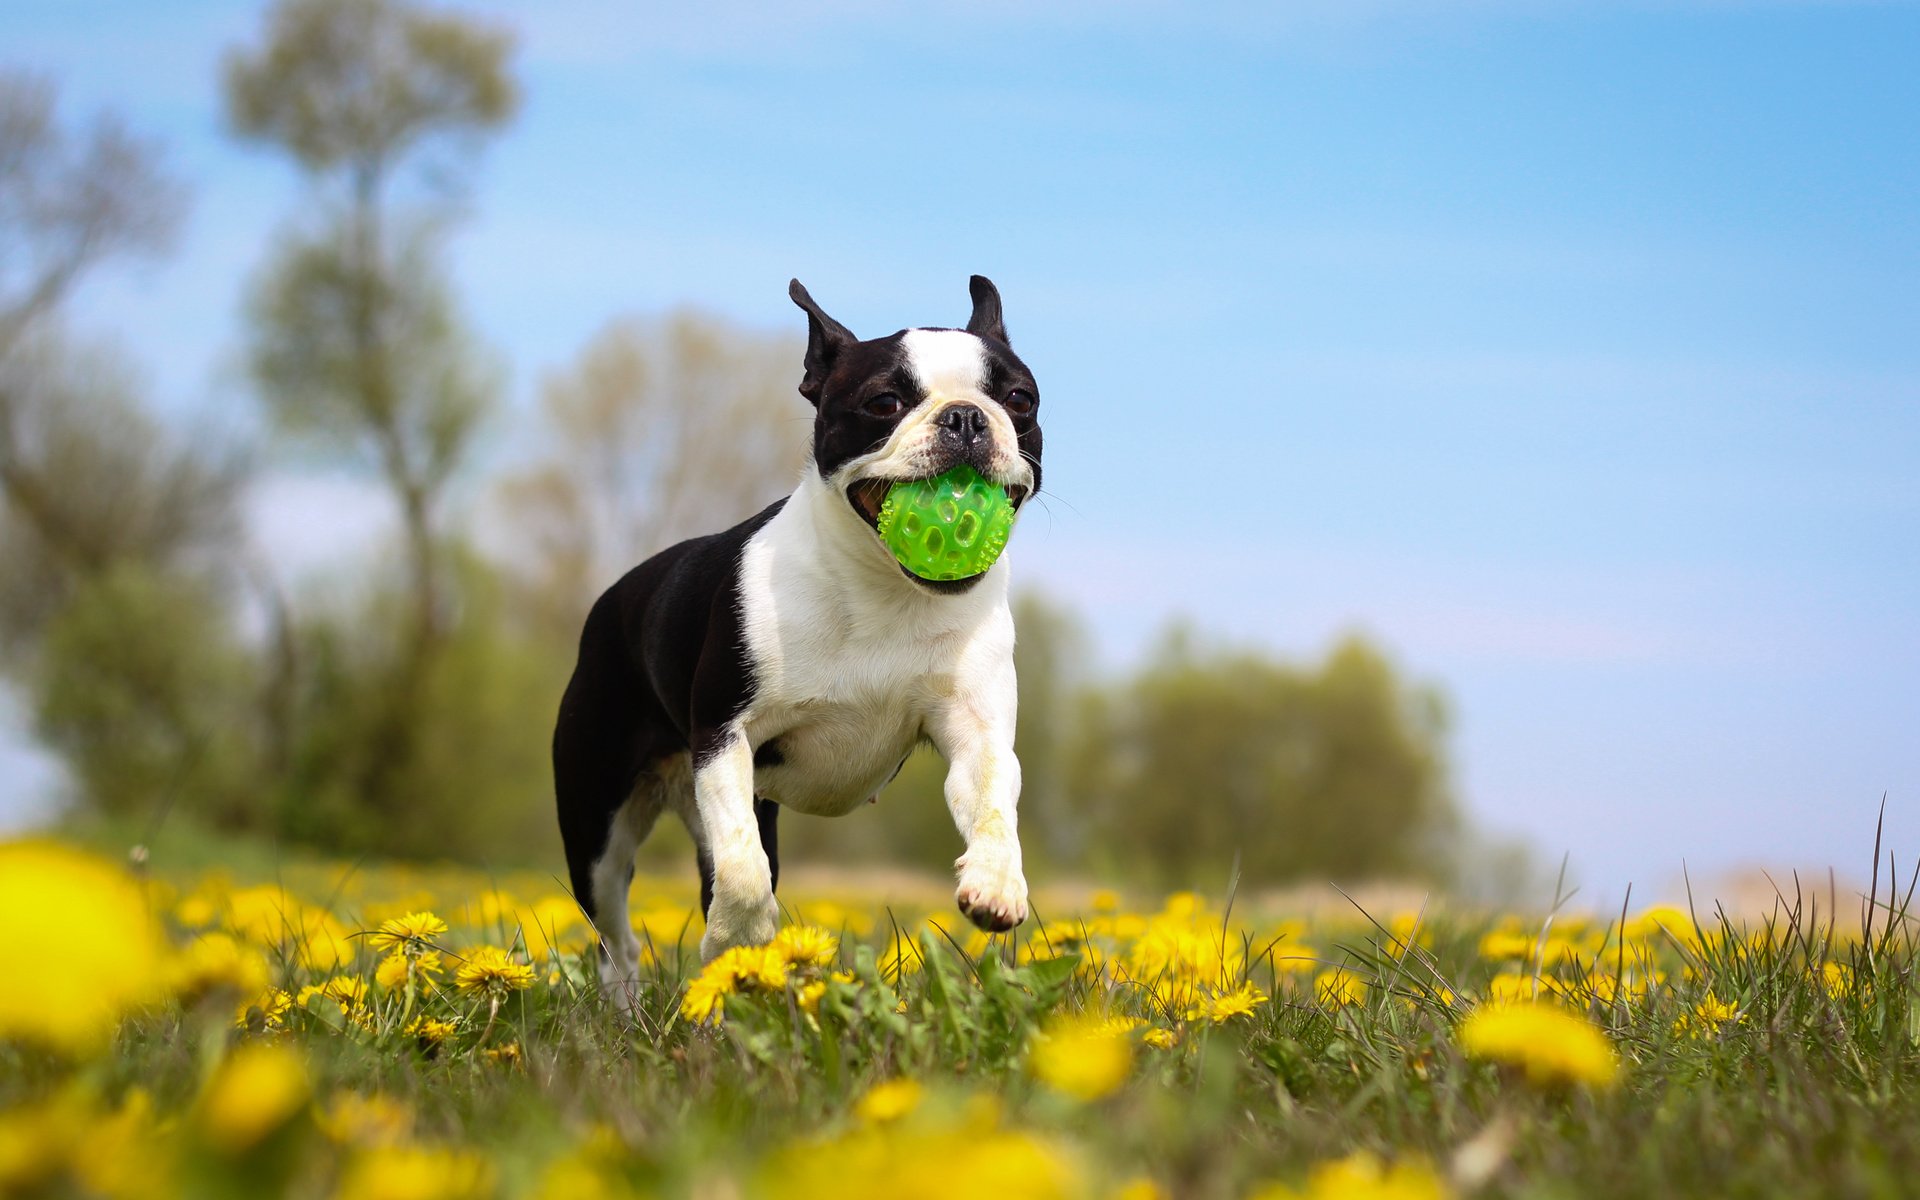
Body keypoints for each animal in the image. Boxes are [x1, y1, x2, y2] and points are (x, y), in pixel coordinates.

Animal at [549, 276, 1044, 1006]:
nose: (965, 417)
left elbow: (990, 804)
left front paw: (997, 882)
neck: (883, 588)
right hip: (597, 823)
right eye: (884, 402)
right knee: (620, 935)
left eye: (1019, 400)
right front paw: (740, 936)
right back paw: (631, 1010)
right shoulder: (725, 736)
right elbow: (745, 869)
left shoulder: (975, 735)